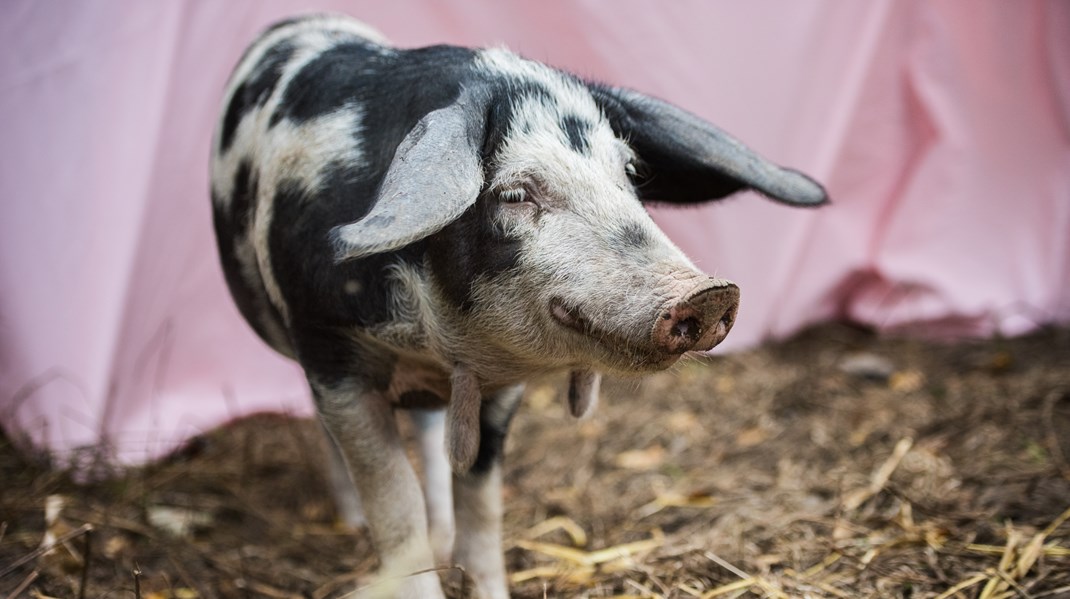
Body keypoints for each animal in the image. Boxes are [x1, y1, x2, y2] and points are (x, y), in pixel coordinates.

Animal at [208, 14, 826, 599]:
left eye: (629, 173)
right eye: (513, 194)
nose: (709, 292)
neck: (438, 344)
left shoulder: (501, 388)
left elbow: (482, 503)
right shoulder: (330, 349)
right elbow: (395, 506)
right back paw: (353, 521)